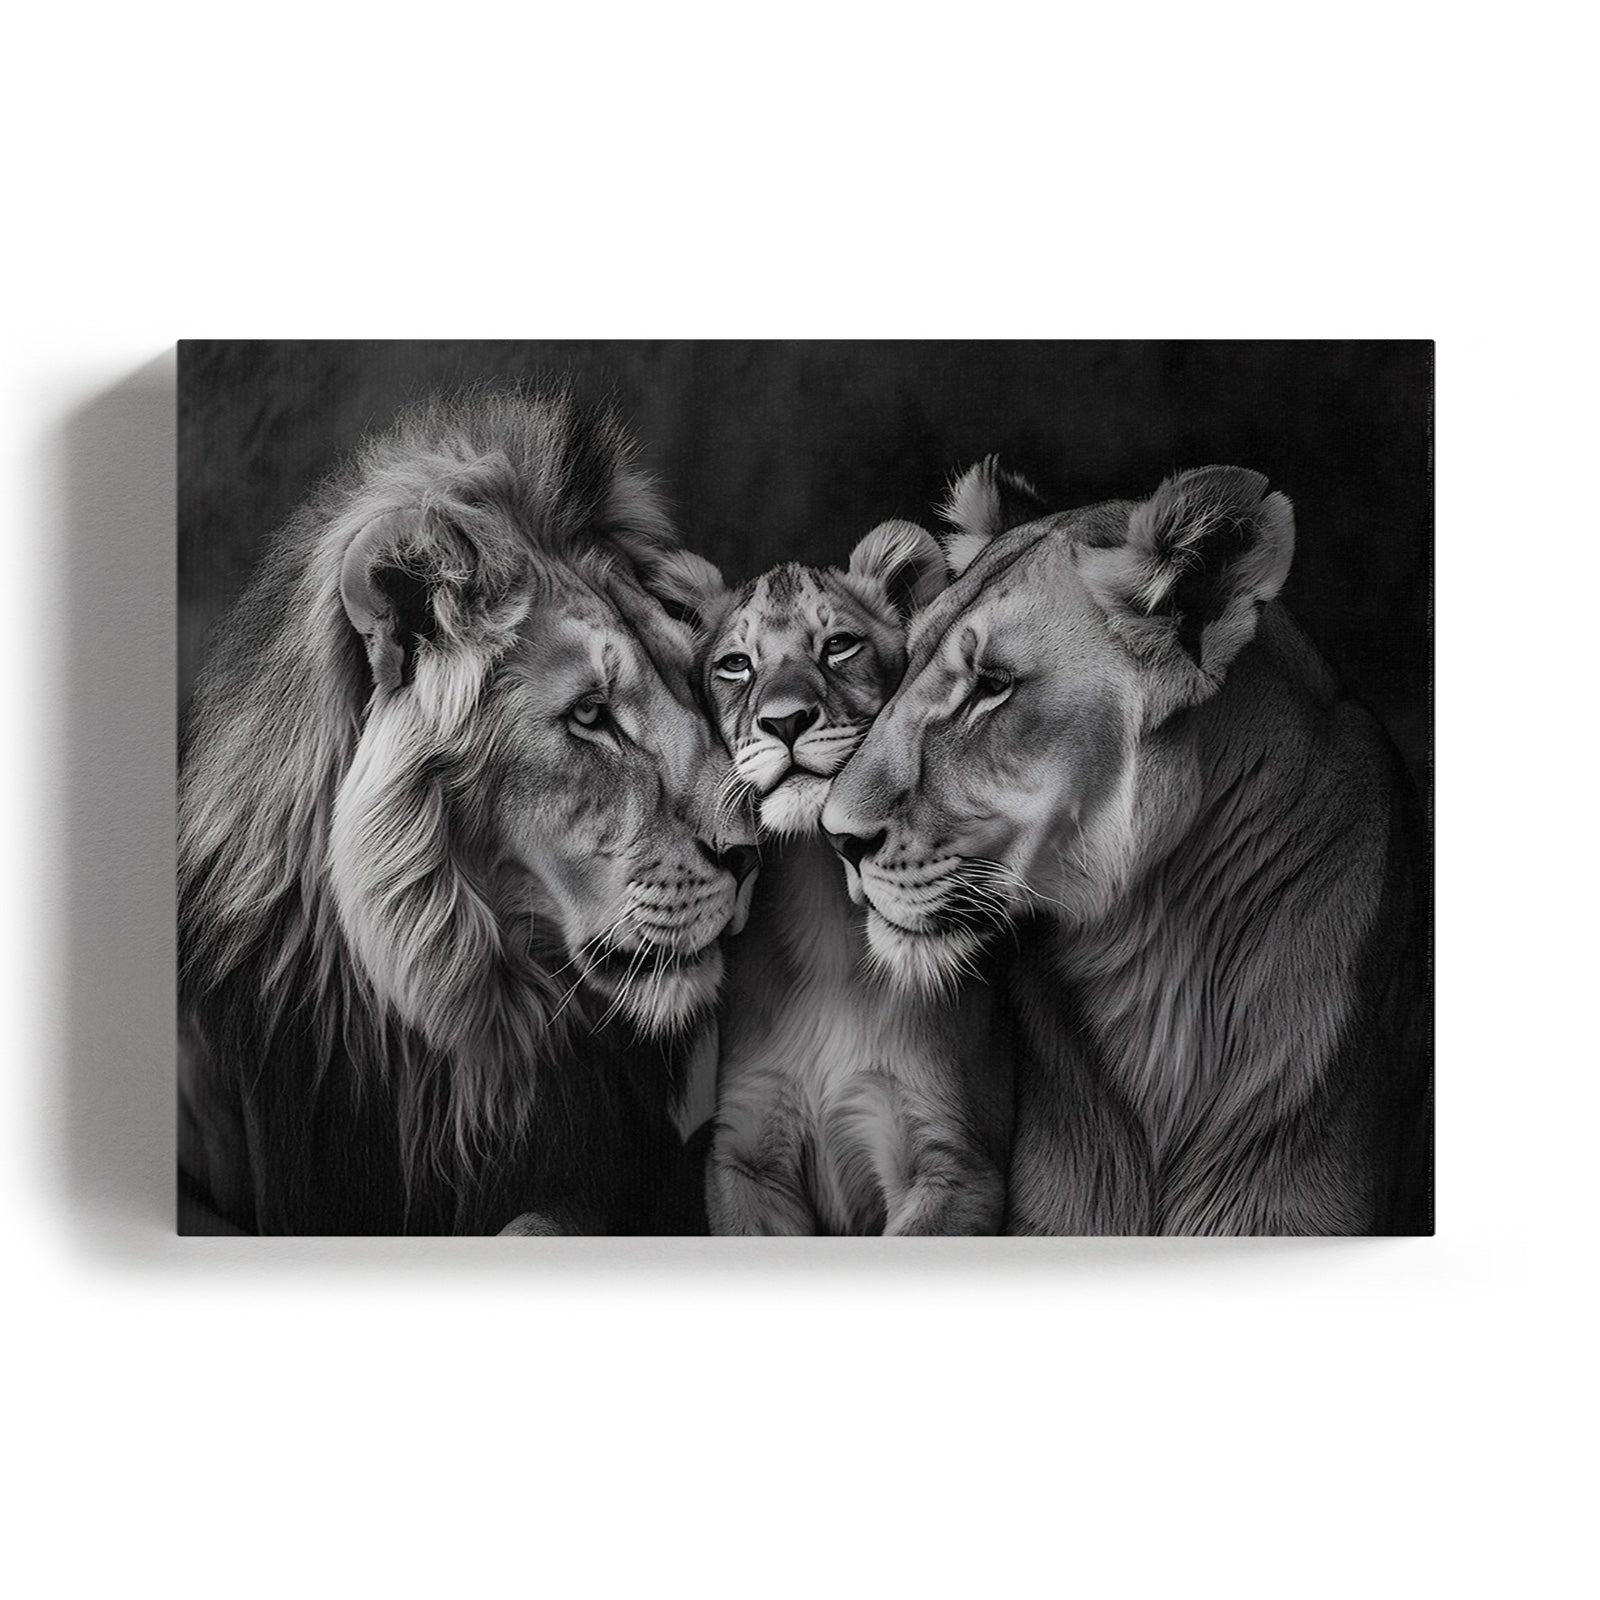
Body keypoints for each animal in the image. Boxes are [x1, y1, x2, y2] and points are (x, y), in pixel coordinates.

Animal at [684, 529, 1010, 1235]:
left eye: (838, 646)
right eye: (736, 664)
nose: (785, 722)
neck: (821, 903)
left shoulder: (952, 1164)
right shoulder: (746, 1156)